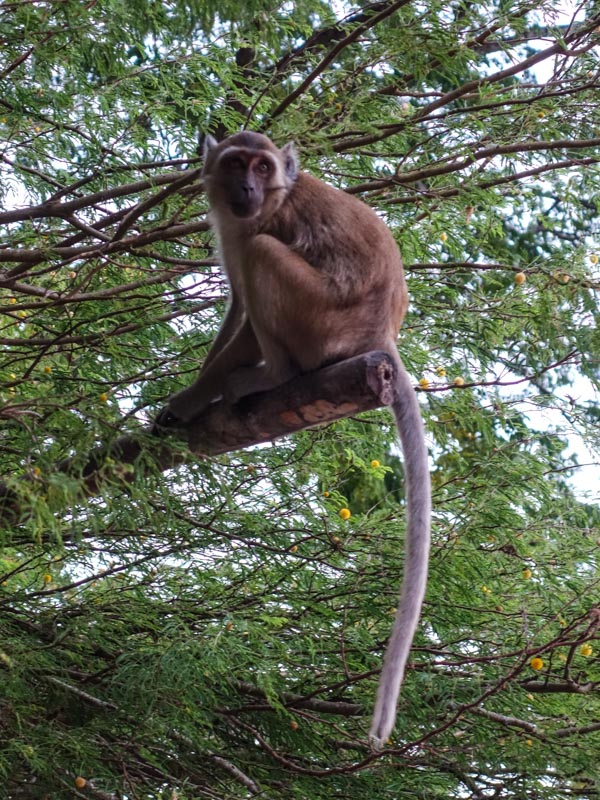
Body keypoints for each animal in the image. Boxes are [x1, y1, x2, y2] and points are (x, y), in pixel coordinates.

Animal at [158, 131, 432, 752]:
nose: (246, 187)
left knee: (264, 255)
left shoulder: (265, 222)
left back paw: (269, 375)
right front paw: (192, 397)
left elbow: (249, 282)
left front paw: (193, 397)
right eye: (236, 164)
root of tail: (380, 337)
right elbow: (235, 308)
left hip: (321, 321)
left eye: (263, 168)